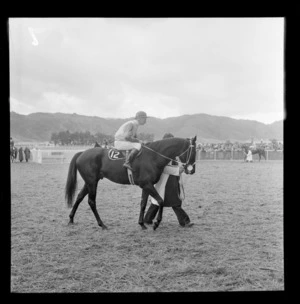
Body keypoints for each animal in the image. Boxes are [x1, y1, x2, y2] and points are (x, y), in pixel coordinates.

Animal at [65, 137, 197, 229]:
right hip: (92, 183)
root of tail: (82, 153)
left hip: (89, 182)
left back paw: (71, 219)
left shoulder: (146, 186)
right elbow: (160, 201)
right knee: (91, 201)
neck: (153, 156)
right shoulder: (147, 185)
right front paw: (156, 223)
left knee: (79, 197)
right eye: (194, 151)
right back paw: (101, 224)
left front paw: (142, 224)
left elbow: (143, 204)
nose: (192, 170)